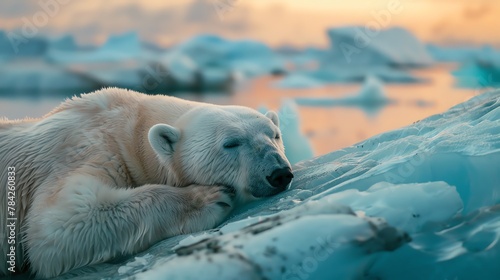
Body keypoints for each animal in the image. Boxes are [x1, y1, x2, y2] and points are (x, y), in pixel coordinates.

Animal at [0, 87, 292, 278]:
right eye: (231, 143)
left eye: (274, 134)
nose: (278, 172)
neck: (131, 124)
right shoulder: (84, 149)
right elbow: (58, 226)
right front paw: (209, 197)